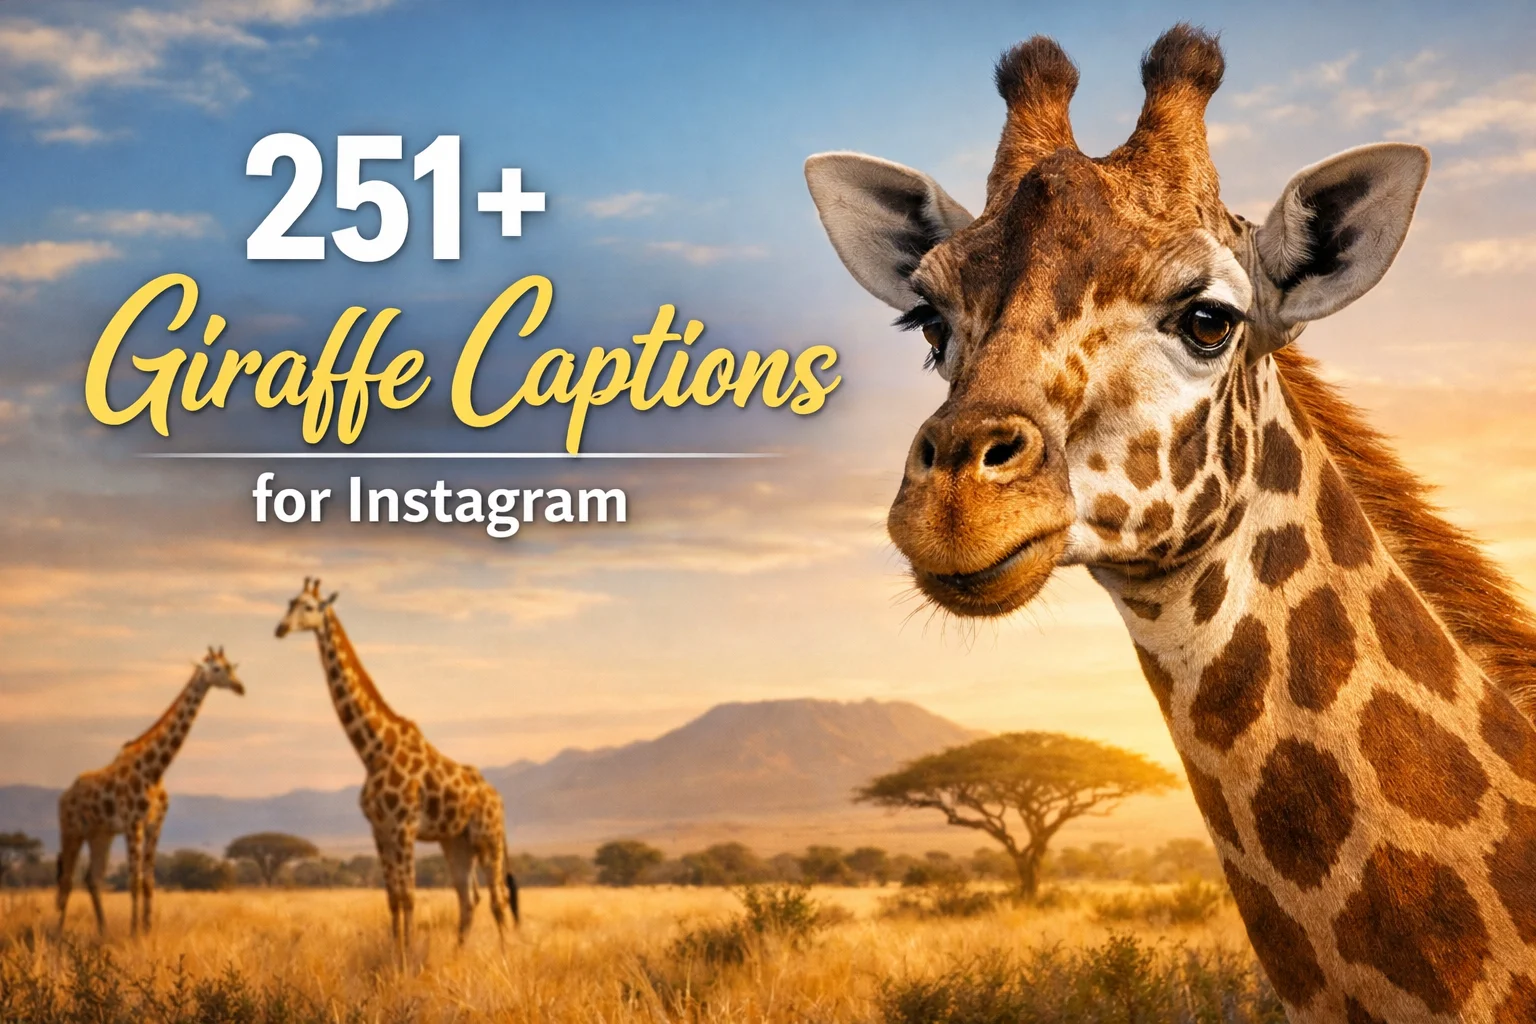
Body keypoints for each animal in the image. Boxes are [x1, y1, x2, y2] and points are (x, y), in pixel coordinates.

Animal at [56, 646, 244, 936]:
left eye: (231, 666)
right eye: (216, 668)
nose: (239, 687)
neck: (155, 770)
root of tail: (64, 797)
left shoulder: (155, 823)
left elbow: (148, 881)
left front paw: (147, 930)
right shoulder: (133, 823)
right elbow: (134, 880)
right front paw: (134, 933)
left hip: (101, 833)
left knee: (92, 878)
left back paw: (103, 931)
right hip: (72, 829)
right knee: (67, 878)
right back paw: (57, 934)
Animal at [274, 577, 518, 950]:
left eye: (310, 607)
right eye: (290, 603)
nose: (281, 628)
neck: (372, 748)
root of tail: (499, 798)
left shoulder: (403, 826)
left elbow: (408, 896)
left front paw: (408, 956)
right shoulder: (379, 829)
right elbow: (393, 898)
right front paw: (396, 954)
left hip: (487, 838)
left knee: (498, 896)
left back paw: (505, 957)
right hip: (455, 841)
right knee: (469, 898)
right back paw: (458, 954)